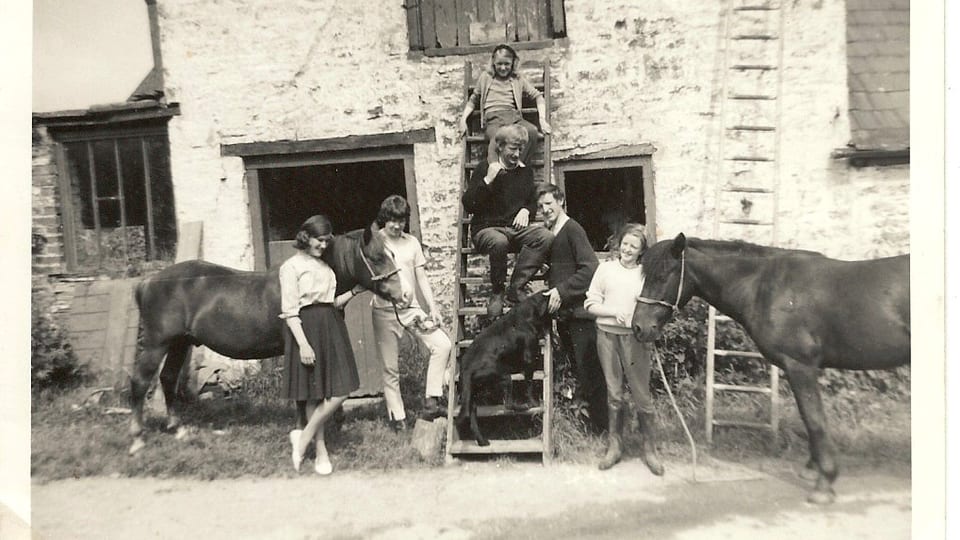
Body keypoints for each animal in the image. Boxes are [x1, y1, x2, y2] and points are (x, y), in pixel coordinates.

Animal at [129, 221, 406, 454]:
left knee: (167, 378)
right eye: (377, 258)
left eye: (392, 255)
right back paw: (138, 438)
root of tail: (147, 281)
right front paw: (303, 430)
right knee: (141, 382)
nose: (402, 295)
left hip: (179, 343)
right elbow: (300, 397)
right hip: (157, 344)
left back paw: (177, 428)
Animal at [456, 294, 552, 446]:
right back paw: (523, 406)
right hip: (504, 376)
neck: (523, 315)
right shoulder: (529, 360)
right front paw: (533, 402)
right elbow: (529, 384)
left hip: (473, 396)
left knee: (473, 420)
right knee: (508, 404)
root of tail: (466, 369)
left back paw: (483, 441)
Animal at [632, 234, 908, 504]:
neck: (764, 285)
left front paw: (824, 483)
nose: (639, 327)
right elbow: (810, 419)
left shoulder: (800, 366)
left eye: (662, 276)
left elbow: (814, 419)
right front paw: (812, 468)